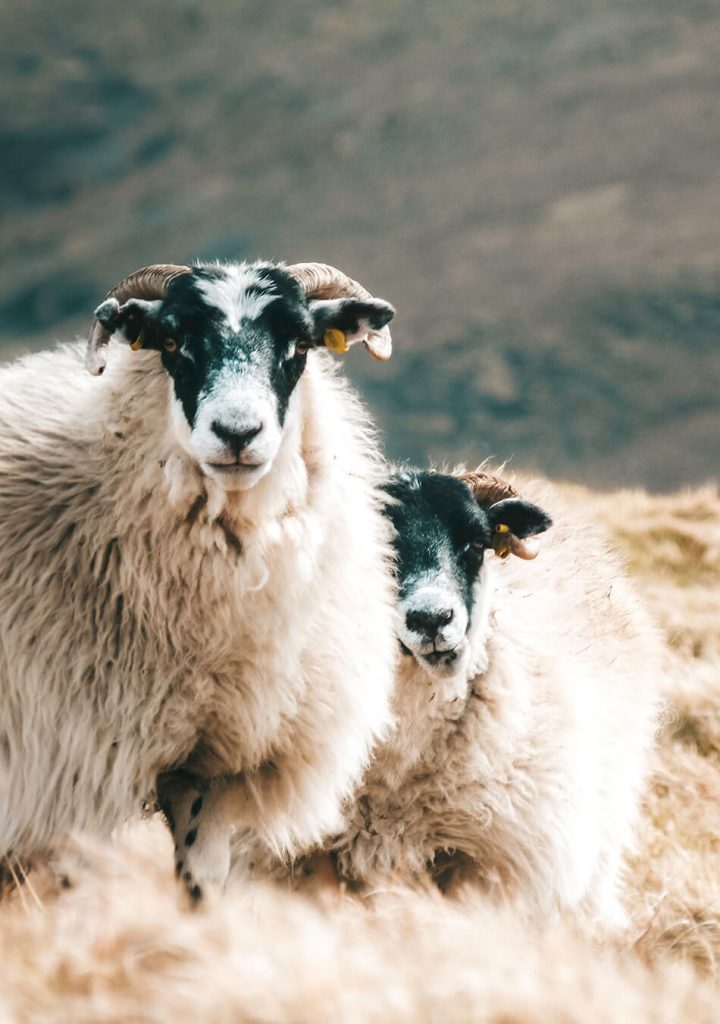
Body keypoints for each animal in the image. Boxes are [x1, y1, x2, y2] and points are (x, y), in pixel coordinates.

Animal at [0, 262, 397, 897]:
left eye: (300, 342)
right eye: (171, 341)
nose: (237, 433)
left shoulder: (214, 768)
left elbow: (203, 886)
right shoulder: (63, 761)